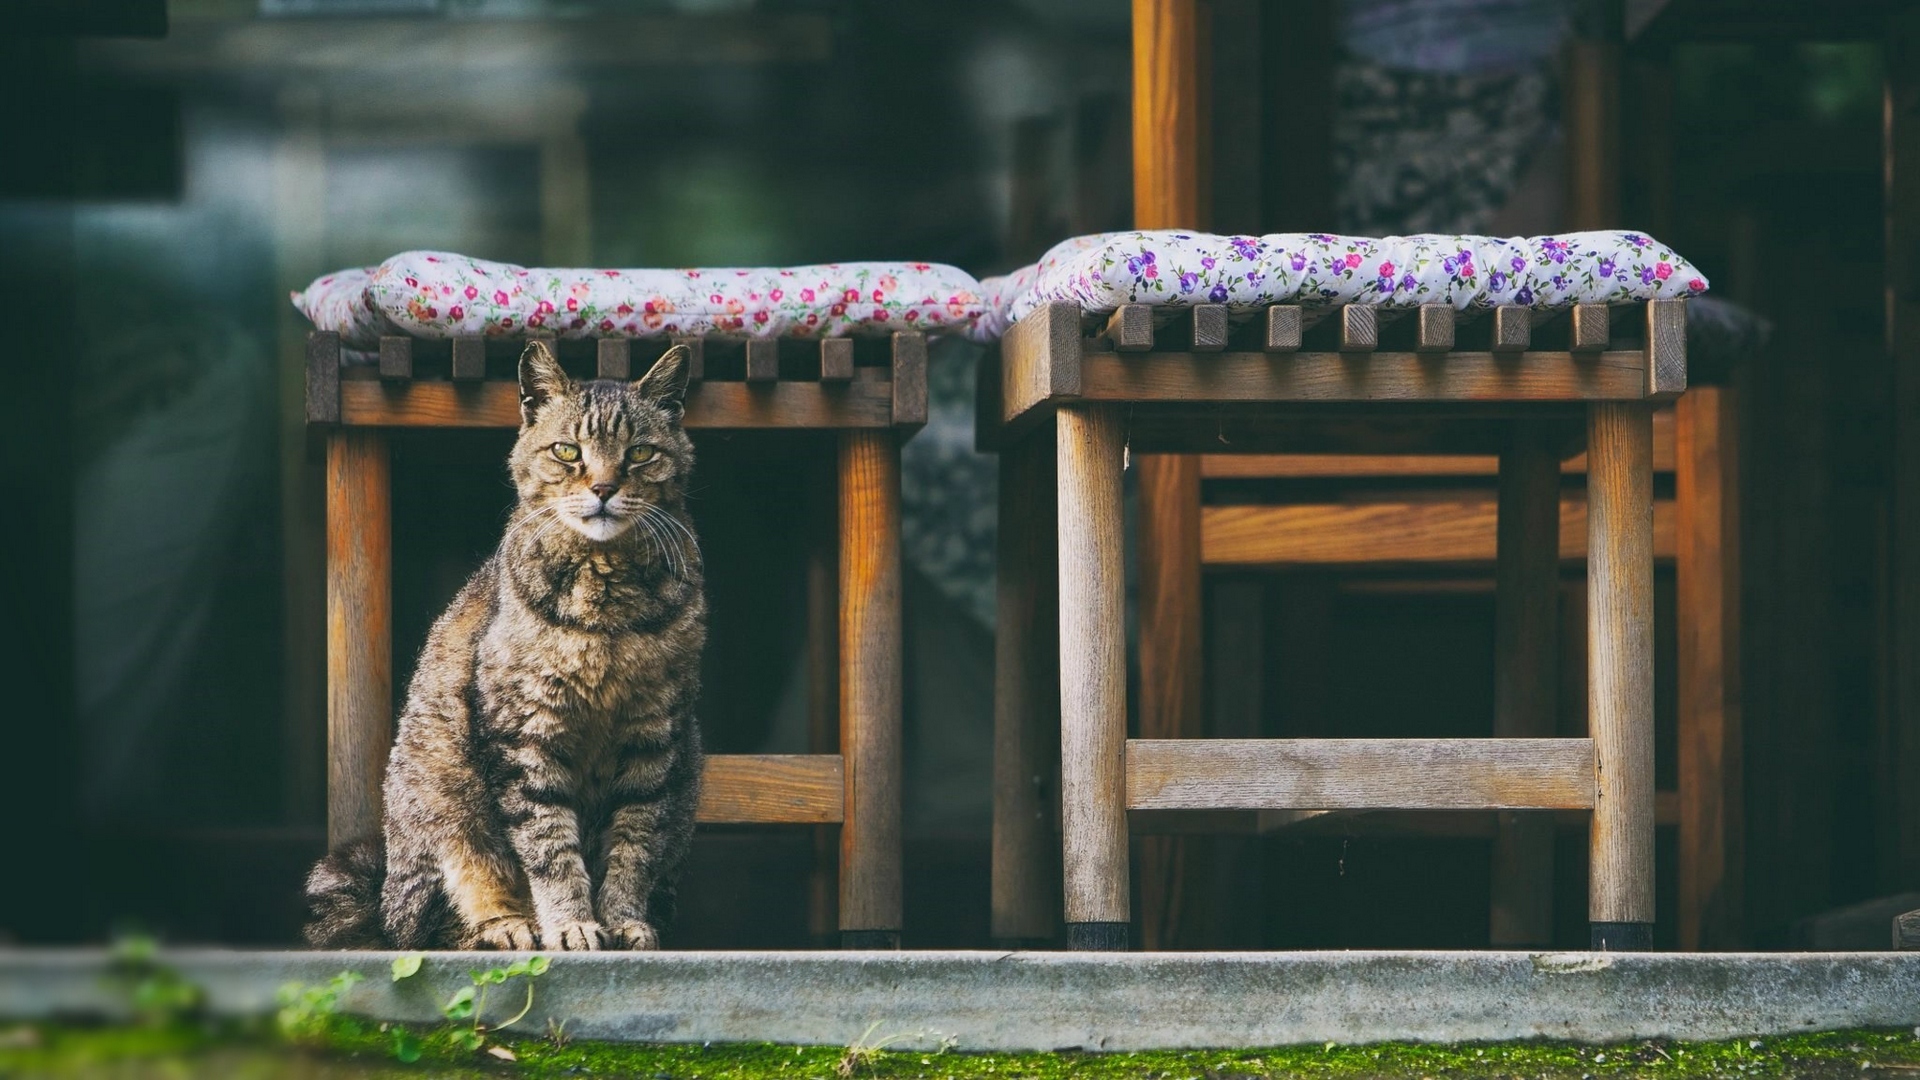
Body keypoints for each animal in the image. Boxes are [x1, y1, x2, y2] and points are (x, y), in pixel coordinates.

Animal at [305, 340, 706, 945]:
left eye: (639, 453)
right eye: (567, 451)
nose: (604, 489)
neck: (606, 595)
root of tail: (381, 895)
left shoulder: (653, 738)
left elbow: (633, 846)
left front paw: (622, 921)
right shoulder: (526, 734)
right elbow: (550, 846)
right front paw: (573, 924)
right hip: (440, 806)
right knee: (431, 925)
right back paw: (509, 926)